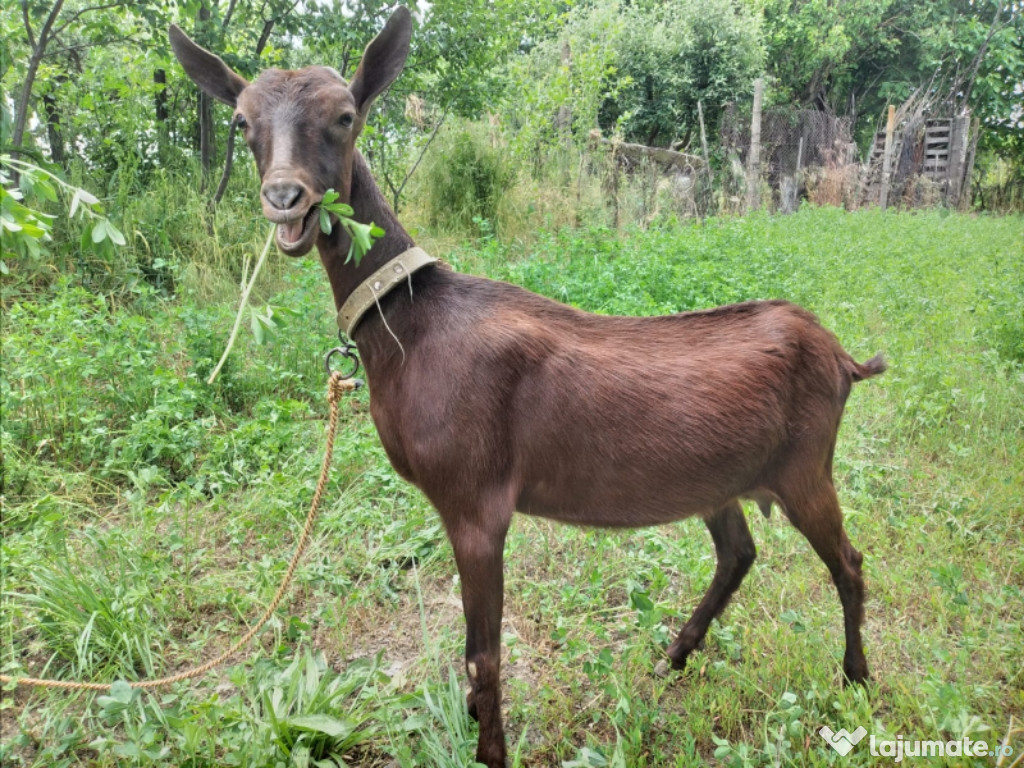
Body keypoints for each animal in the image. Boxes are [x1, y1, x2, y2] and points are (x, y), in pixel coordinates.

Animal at [172, 9, 884, 765]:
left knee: (848, 562)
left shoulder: (476, 503)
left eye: (344, 115)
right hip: (720, 479)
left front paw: (489, 749)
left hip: (806, 467)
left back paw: (856, 680)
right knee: (739, 553)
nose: (287, 201)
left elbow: (482, 657)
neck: (412, 324)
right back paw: (674, 658)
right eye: (243, 121)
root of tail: (841, 356)